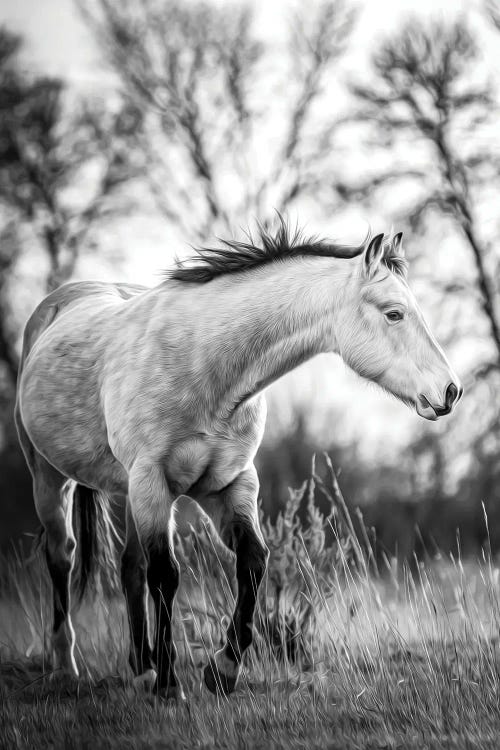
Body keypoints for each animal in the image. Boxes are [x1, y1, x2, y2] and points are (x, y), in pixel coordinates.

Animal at [14, 222, 460, 700]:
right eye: (394, 314)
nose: (451, 391)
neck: (204, 364)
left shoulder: (230, 484)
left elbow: (253, 561)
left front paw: (222, 670)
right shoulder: (154, 481)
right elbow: (167, 574)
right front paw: (171, 686)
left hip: (131, 491)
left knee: (131, 568)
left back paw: (142, 670)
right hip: (53, 479)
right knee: (64, 558)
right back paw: (68, 667)